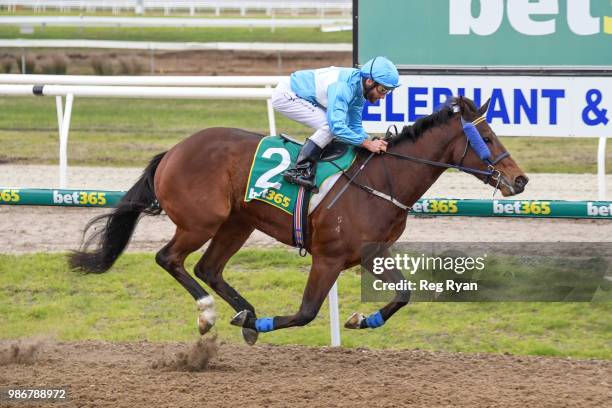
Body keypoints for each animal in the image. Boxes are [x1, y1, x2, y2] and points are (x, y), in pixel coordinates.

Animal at [71, 95, 528, 344]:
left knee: (208, 268)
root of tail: (173, 150)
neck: (383, 178)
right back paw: (212, 314)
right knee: (170, 259)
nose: (520, 180)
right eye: (488, 138)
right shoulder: (327, 257)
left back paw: (245, 313)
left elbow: (403, 294)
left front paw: (362, 319)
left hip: (238, 222)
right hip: (201, 222)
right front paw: (264, 321)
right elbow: (307, 312)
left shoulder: (371, 252)